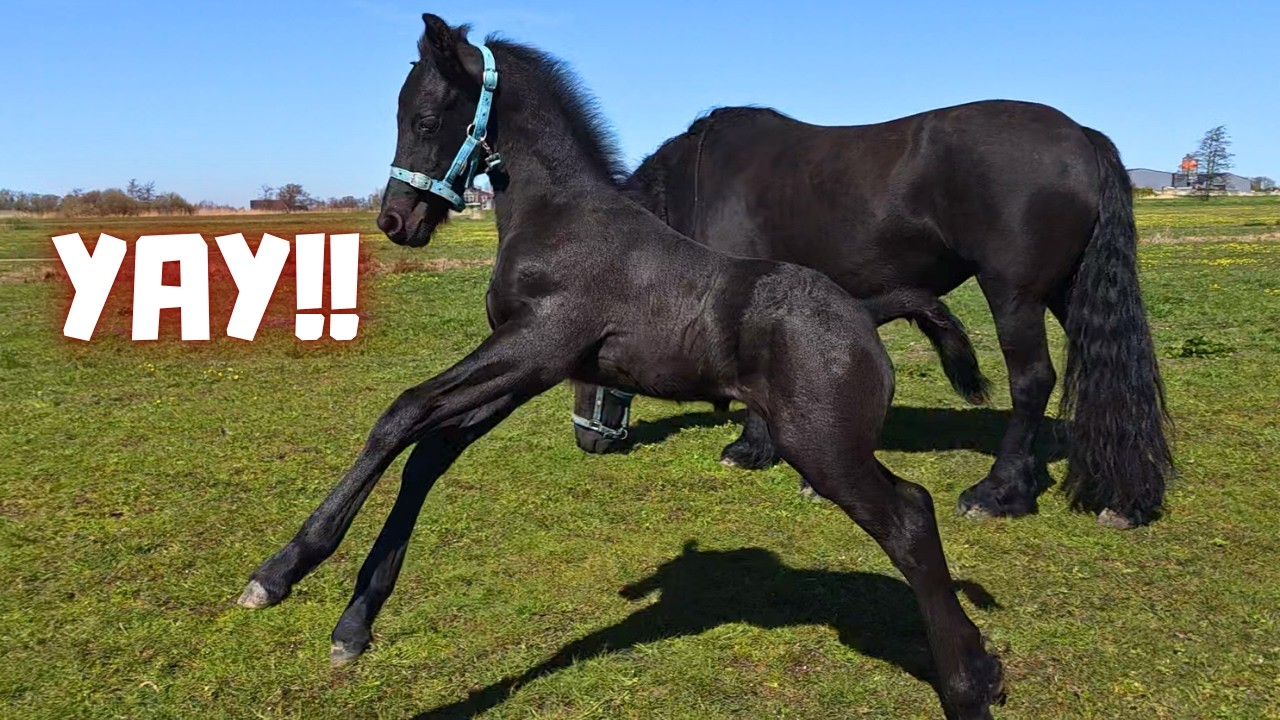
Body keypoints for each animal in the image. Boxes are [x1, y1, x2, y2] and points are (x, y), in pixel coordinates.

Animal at [236, 15, 1005, 719]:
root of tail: (867, 313)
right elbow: (428, 452)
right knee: (913, 513)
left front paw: (282, 570)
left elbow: (402, 412)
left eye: (425, 117)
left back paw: (968, 685)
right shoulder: (528, 368)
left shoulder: (536, 342)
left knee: (910, 518)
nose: (397, 222)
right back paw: (984, 670)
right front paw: (354, 623)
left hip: (822, 446)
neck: (558, 215)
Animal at [573, 103, 1172, 529]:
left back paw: (999, 491)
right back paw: (1123, 497)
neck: (700, 181)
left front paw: (750, 450)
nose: (589, 440)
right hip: (1069, 291)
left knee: (1032, 381)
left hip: (1014, 294)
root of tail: (1081, 136)